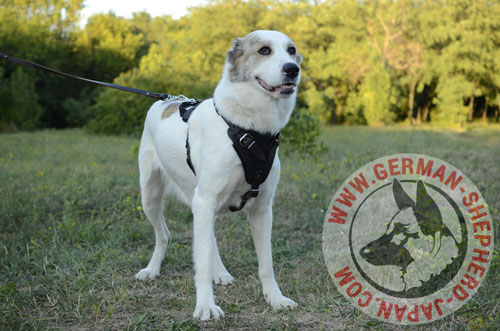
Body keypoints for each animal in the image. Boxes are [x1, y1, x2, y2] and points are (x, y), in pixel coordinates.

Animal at [133, 31, 302, 322]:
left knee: (207, 238)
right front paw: (205, 305)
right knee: (164, 234)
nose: (293, 69)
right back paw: (152, 269)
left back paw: (220, 273)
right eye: (264, 50)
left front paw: (275, 298)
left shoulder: (262, 209)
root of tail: (166, 100)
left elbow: (266, 263)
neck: (249, 129)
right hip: (151, 196)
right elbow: (200, 265)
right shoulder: (206, 201)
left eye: (291, 50)